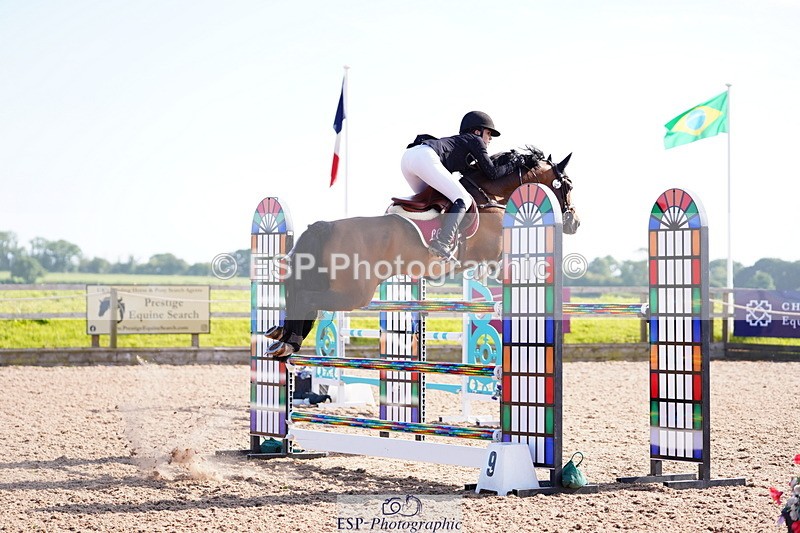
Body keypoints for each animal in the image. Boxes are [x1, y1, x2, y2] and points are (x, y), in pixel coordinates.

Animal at [265, 146, 579, 359]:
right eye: (569, 185)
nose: (574, 223)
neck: (491, 197)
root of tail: (324, 227)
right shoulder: (493, 254)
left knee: (297, 292)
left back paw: (281, 337)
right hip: (354, 294)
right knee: (307, 298)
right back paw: (289, 342)